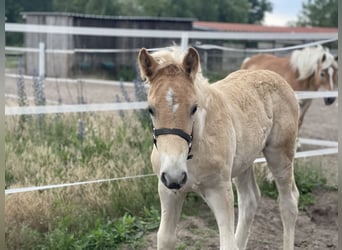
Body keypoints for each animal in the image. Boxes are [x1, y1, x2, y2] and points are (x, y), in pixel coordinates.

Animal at [138, 46, 298, 249]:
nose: (175, 176)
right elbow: (165, 238)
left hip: (280, 154)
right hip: (243, 162)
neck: (193, 152)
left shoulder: (220, 190)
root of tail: (273, 75)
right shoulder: (168, 191)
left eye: (194, 107)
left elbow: (227, 242)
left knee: (288, 202)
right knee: (250, 199)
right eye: (151, 109)